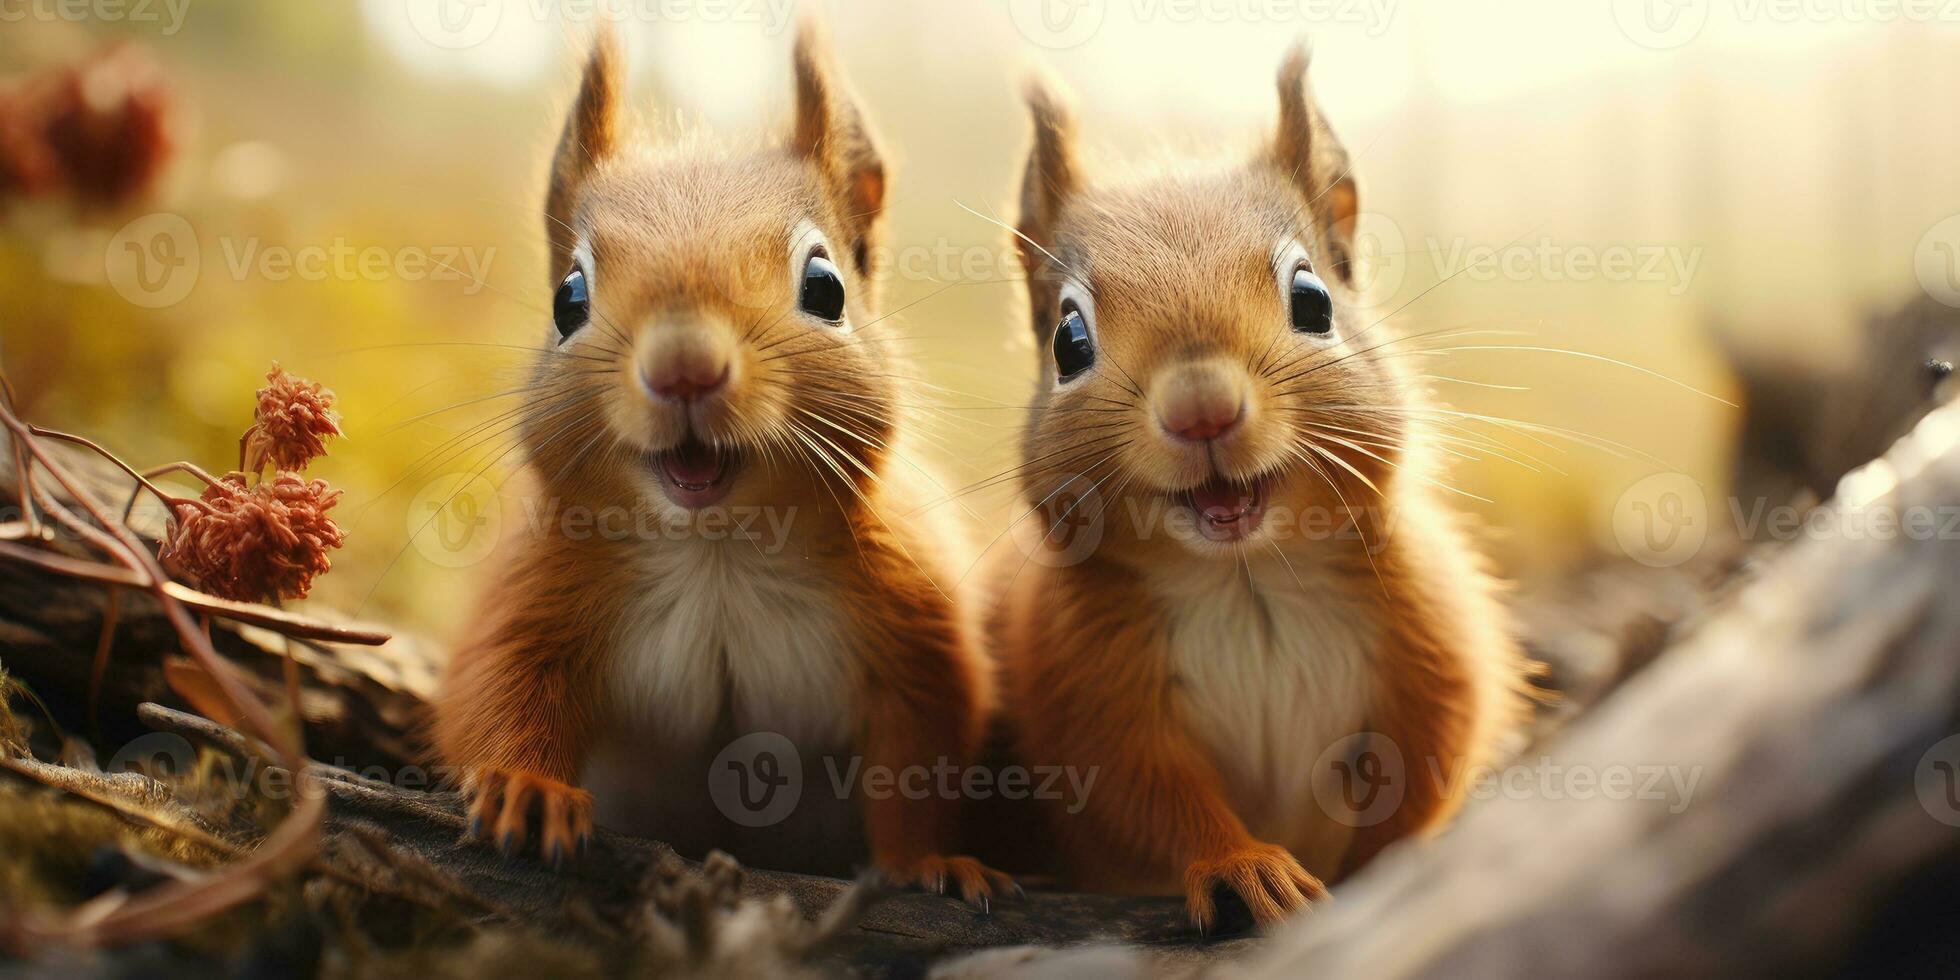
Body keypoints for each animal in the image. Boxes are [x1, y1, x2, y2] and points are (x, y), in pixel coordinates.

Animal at [995, 47, 1528, 932]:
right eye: (1069, 342)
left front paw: (1384, 874)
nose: (1201, 407)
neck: (1248, 582)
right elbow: (1151, 795)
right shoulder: (1089, 685)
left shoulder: (1432, 644)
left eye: (1313, 300)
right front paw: (1246, 869)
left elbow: (1422, 774)